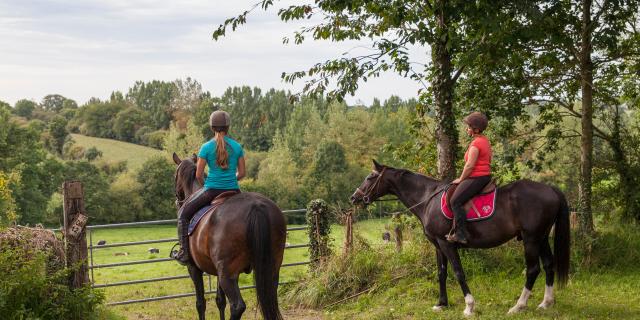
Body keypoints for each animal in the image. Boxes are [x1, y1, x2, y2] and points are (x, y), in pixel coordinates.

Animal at [174, 154, 286, 318]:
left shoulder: (193, 268)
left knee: (237, 306)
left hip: (227, 275)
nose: (177, 200)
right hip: (271, 268)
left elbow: (200, 304)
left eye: (174, 176)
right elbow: (220, 301)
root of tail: (257, 207)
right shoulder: (216, 270)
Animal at [350, 161, 568, 316]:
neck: (428, 198)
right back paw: (545, 303)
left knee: (533, 269)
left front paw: (469, 306)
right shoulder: (437, 245)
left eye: (370, 177)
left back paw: (518, 306)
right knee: (549, 264)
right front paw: (441, 304)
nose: (354, 198)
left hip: (531, 239)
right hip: (541, 238)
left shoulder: (447, 243)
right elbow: (442, 273)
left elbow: (458, 272)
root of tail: (551, 189)